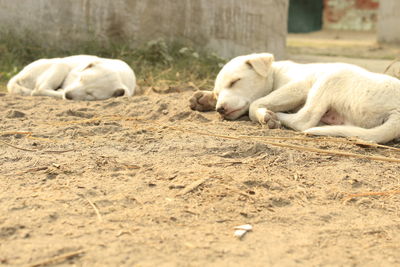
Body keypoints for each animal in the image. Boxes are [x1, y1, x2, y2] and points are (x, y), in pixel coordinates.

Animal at [6, 55, 136, 100]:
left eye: (90, 94)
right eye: (80, 79)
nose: (68, 95)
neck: (120, 73)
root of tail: (19, 75)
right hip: (61, 64)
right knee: (38, 90)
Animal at [190, 52, 400, 144]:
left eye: (235, 82)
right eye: (218, 93)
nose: (220, 110)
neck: (275, 74)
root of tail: (397, 113)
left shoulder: (299, 86)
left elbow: (254, 105)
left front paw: (265, 116)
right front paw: (203, 98)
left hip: (332, 76)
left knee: (304, 120)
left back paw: (279, 116)